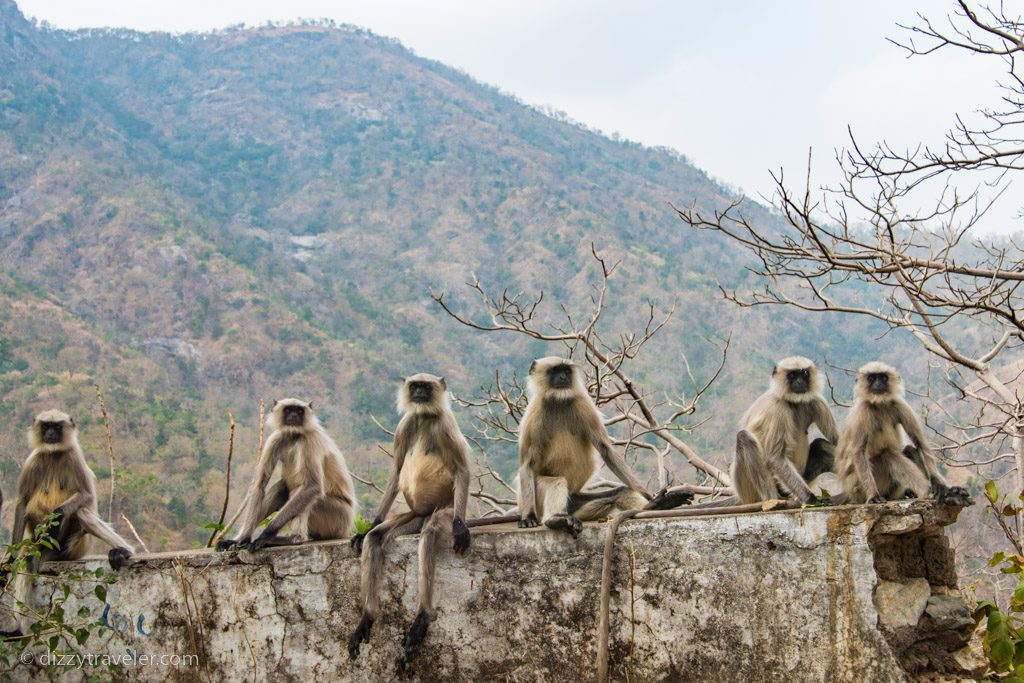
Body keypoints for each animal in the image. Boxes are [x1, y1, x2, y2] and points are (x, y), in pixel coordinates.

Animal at [216, 397, 356, 552]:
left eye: (299, 410)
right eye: (289, 409)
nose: (293, 416)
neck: (293, 436)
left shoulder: (310, 439)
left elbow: (313, 486)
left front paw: (265, 535)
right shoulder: (274, 439)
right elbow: (259, 485)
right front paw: (243, 539)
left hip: (338, 518)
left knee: (303, 491)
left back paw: (294, 538)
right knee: (281, 488)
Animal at [346, 374, 468, 663]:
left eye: (426, 386)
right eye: (415, 386)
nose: (420, 393)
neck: (424, 417)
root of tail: (423, 515)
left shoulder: (445, 422)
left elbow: (462, 469)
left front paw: (461, 529)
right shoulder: (405, 425)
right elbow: (397, 468)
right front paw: (368, 526)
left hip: (444, 509)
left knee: (431, 533)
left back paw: (422, 618)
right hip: (412, 515)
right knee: (375, 537)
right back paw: (367, 617)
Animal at [516, 358, 692, 540]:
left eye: (566, 370)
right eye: (555, 371)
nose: (563, 377)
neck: (558, 401)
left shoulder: (583, 404)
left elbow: (605, 449)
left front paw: (652, 497)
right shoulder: (533, 414)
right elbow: (527, 464)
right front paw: (528, 517)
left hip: (575, 500)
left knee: (618, 493)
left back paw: (654, 505)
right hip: (537, 498)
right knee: (555, 481)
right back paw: (556, 520)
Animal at [835, 362, 970, 507]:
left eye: (883, 377)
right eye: (872, 378)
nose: (878, 383)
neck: (880, 404)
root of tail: (848, 493)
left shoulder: (900, 405)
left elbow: (921, 444)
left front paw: (942, 486)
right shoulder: (863, 412)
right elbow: (858, 452)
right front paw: (873, 496)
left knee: (909, 450)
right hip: (858, 488)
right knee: (888, 455)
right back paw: (931, 493)